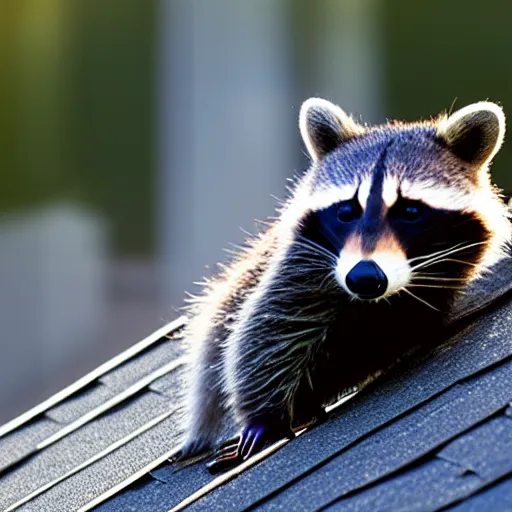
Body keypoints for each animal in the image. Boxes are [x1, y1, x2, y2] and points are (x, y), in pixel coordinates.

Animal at [174, 98, 510, 470]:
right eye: (346, 211)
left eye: (410, 211)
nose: (364, 278)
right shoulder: (304, 260)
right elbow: (265, 331)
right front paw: (265, 416)